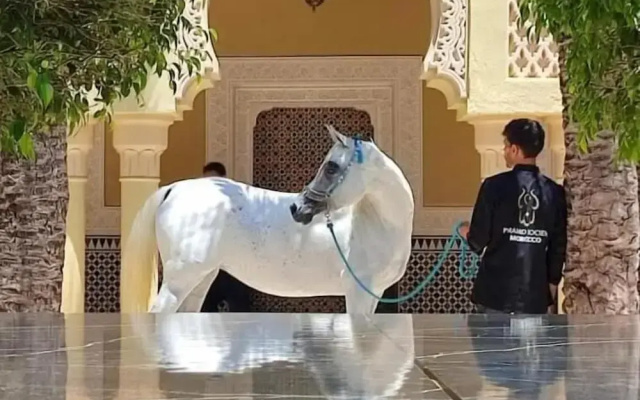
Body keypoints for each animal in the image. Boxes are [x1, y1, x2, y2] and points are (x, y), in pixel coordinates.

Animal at [121, 125, 415, 314]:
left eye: (331, 167)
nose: (297, 208)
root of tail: (175, 189)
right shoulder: (357, 292)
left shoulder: (373, 294)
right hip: (180, 280)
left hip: (201, 279)